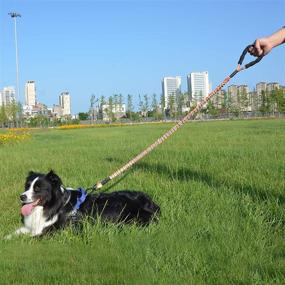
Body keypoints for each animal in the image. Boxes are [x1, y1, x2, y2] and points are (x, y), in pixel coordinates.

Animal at [7, 169, 160, 237]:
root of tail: (150, 202)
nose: (22, 197)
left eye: (38, 188)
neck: (55, 205)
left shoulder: (54, 231)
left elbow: (31, 237)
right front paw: (6, 238)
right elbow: (16, 232)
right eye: (27, 186)